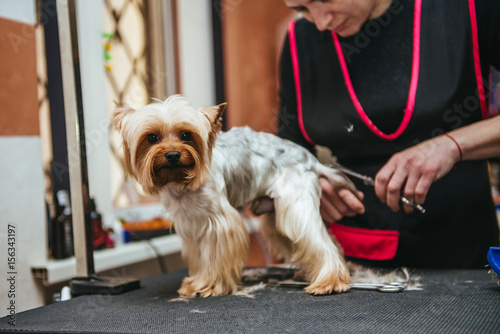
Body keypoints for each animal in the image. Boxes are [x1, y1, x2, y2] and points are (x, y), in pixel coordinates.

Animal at [114, 95, 356, 296]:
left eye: (186, 135)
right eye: (152, 138)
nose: (173, 155)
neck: (180, 183)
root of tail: (310, 159)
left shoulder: (219, 222)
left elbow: (214, 255)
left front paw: (209, 286)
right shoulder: (192, 224)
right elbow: (200, 258)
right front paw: (195, 283)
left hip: (295, 205)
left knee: (321, 240)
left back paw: (330, 281)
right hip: (275, 214)